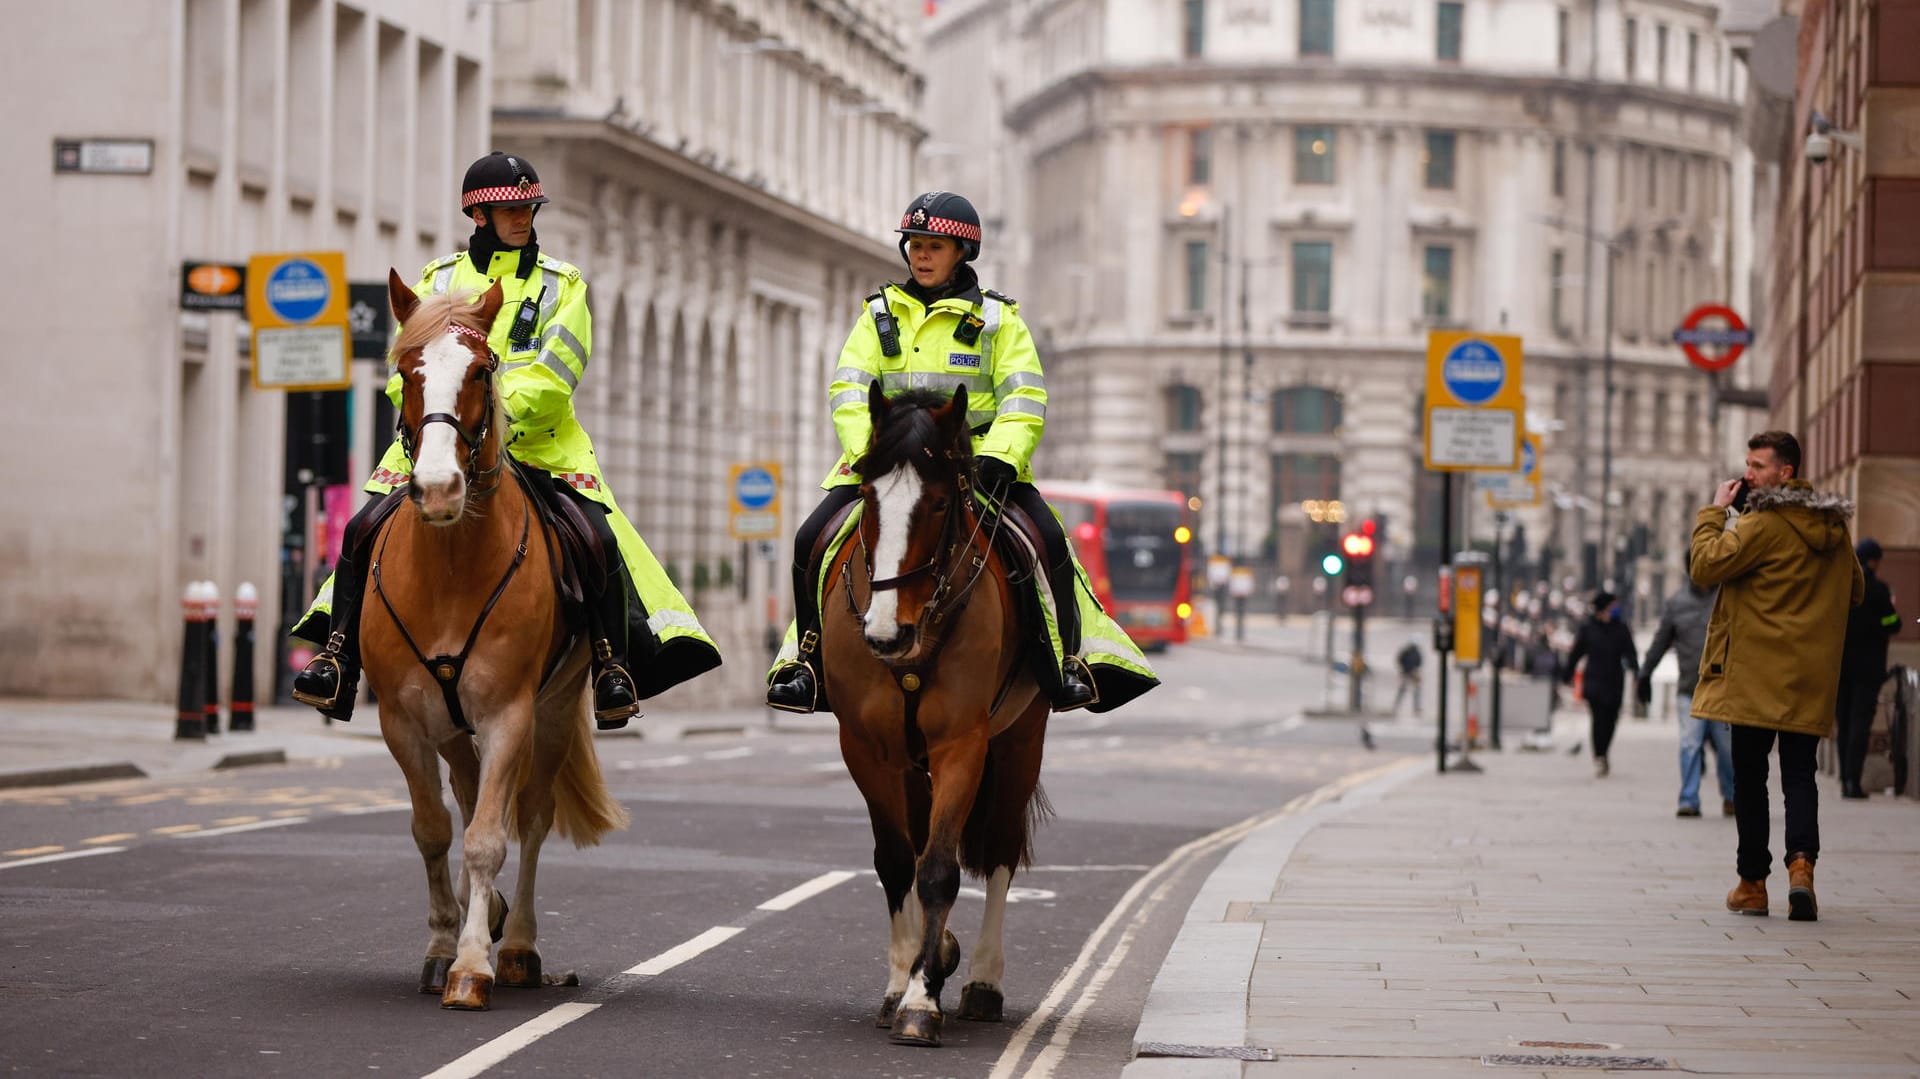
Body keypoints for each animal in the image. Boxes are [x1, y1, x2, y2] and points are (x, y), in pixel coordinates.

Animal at [360, 268, 629, 1006]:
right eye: (406, 370)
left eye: (483, 369)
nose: (438, 488)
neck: (452, 568)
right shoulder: (402, 719)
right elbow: (433, 828)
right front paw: (441, 945)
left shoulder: (511, 711)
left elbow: (489, 836)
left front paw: (474, 963)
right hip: (452, 723)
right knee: (468, 789)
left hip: (555, 709)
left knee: (527, 815)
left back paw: (518, 945)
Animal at [814, 383, 1052, 1044]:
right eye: (868, 496)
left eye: (942, 503)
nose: (885, 634)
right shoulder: (866, 748)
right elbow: (899, 861)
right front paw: (904, 982)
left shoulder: (961, 743)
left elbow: (941, 867)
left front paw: (923, 1000)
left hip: (1019, 742)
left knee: (998, 851)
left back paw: (981, 982)